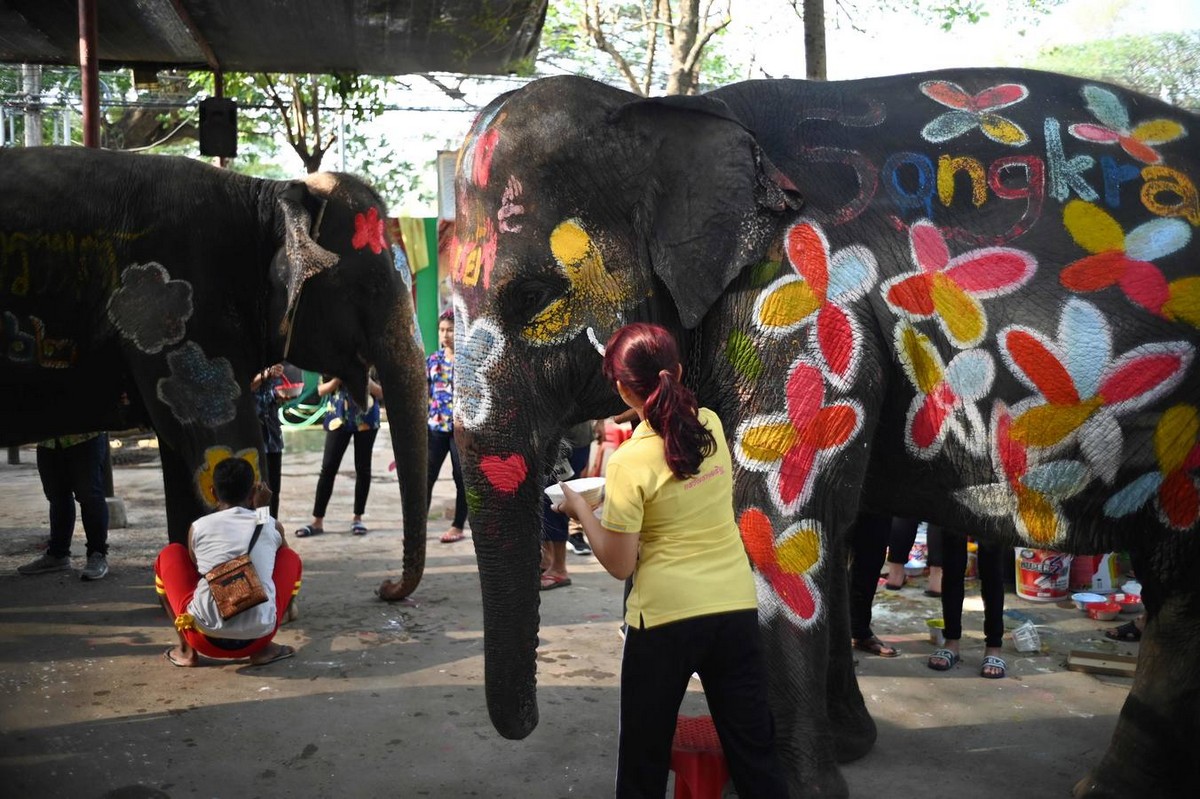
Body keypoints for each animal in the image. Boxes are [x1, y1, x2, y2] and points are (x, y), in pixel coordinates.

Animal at [0, 147, 429, 597]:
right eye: (371, 286)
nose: (384, 587)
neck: (264, 197)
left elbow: (185, 453)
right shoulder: (175, 310)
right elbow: (227, 443)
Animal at [451, 69, 1200, 796]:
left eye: (533, 297)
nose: (525, 723)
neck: (686, 111)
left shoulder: (801, 301)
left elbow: (774, 517)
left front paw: (796, 783)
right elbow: (829, 525)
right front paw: (850, 747)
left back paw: (1102, 788)